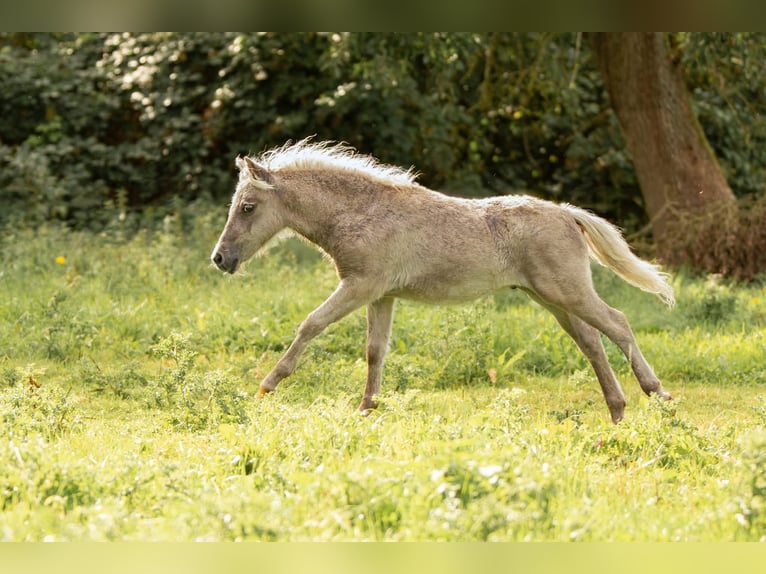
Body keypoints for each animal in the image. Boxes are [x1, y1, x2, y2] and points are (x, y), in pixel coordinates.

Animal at [211, 139, 674, 422]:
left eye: (248, 207)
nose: (220, 259)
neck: (362, 212)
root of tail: (568, 214)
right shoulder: (381, 295)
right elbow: (375, 351)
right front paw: (366, 409)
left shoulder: (360, 286)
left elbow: (311, 324)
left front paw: (267, 386)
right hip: (552, 299)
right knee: (592, 341)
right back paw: (617, 411)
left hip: (567, 293)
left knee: (617, 323)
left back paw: (659, 397)